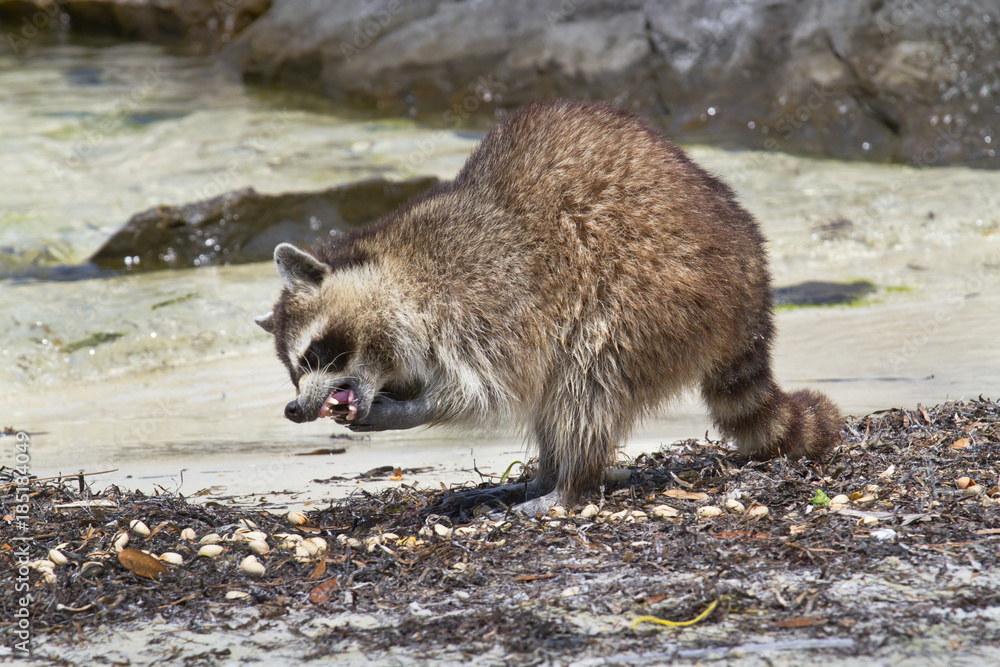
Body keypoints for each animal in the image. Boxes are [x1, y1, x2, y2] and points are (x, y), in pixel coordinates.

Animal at [255, 99, 841, 513]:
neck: (397, 274)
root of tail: (750, 278)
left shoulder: (487, 300)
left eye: (314, 354)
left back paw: (569, 484)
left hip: (659, 292)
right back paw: (543, 476)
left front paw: (411, 410)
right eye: (293, 371)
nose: (294, 410)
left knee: (588, 376)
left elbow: (489, 389)